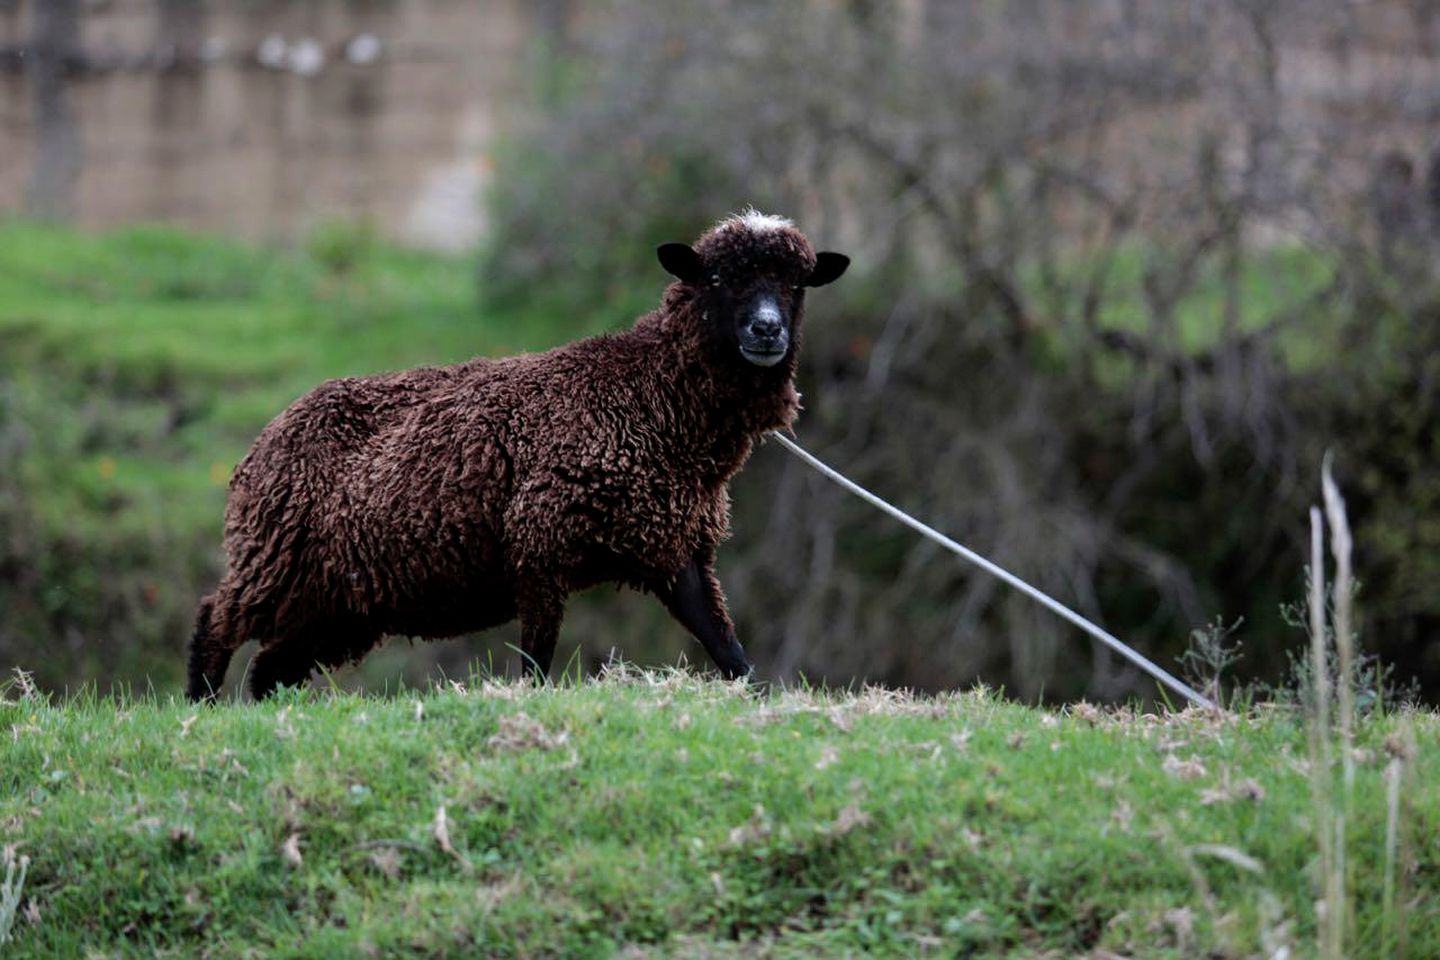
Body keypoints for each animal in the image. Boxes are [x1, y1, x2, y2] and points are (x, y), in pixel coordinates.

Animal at [185, 211, 846, 705]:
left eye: (796, 285)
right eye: (716, 279)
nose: (766, 331)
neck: (651, 398)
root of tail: (264, 441)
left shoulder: (673, 547)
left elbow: (727, 648)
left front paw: (761, 705)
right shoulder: (540, 543)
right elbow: (536, 659)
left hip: (338, 602)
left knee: (270, 668)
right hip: (274, 558)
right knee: (215, 621)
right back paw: (201, 707)